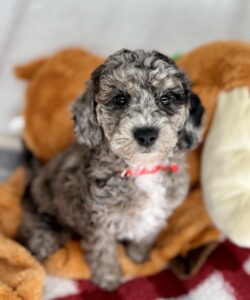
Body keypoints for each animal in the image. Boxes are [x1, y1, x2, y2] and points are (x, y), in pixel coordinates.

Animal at [18, 49, 204, 290]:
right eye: (120, 99)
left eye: (166, 99)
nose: (146, 134)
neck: (141, 169)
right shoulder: (99, 222)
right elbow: (103, 252)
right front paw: (108, 280)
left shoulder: (157, 214)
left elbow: (145, 237)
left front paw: (138, 258)